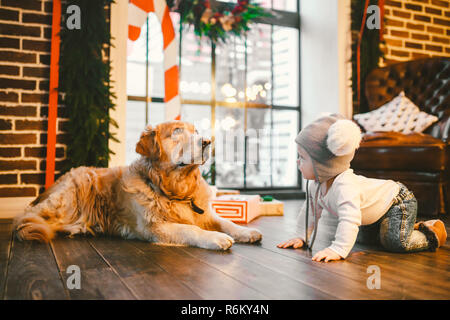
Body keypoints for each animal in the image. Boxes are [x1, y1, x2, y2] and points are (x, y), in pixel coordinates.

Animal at [12, 120, 262, 250]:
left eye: (196, 132)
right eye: (176, 132)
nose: (207, 142)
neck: (176, 191)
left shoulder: (205, 213)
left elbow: (227, 222)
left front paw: (246, 231)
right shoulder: (154, 227)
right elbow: (191, 229)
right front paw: (215, 238)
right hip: (70, 195)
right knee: (28, 216)